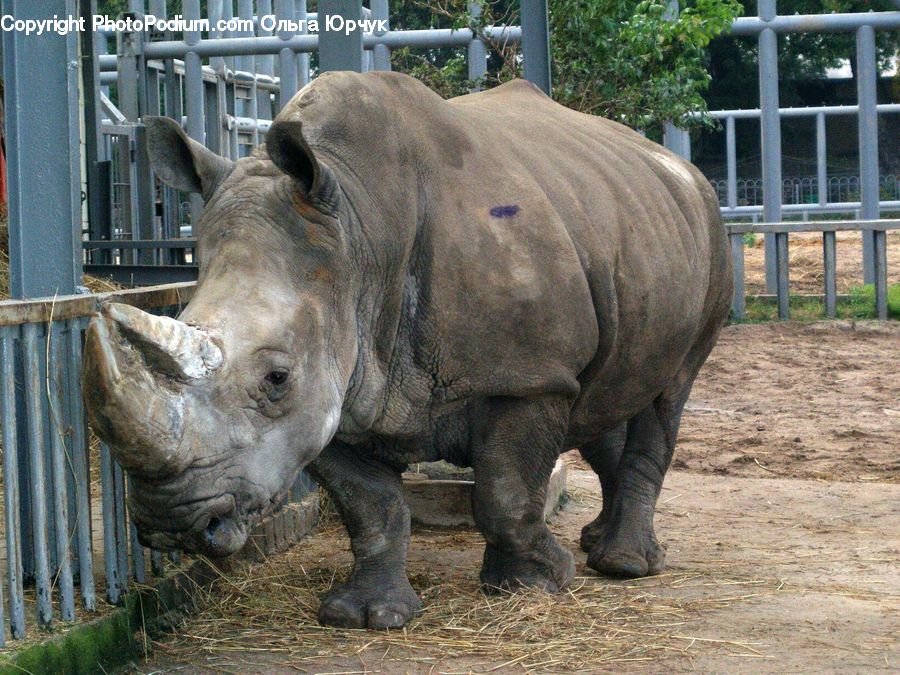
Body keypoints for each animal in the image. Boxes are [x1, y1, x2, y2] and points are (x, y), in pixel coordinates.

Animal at [83, 71, 732, 629]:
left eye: (276, 378)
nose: (171, 520)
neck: (358, 230)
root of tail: (684, 171)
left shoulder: (526, 374)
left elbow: (506, 490)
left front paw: (533, 586)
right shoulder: (334, 391)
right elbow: (370, 507)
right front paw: (366, 615)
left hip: (711, 240)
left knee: (668, 391)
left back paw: (624, 565)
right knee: (607, 395)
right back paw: (604, 544)